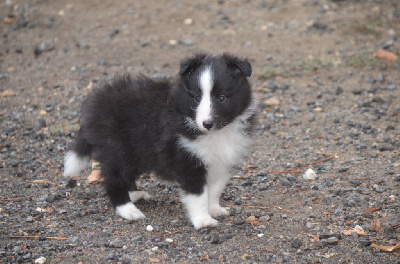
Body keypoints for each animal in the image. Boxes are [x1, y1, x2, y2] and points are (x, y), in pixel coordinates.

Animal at [62, 53, 256, 229]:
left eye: (222, 98)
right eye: (196, 98)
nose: (207, 124)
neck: (215, 134)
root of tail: (94, 107)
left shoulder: (222, 162)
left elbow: (215, 189)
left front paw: (214, 209)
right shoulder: (187, 160)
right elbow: (198, 194)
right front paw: (203, 221)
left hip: (133, 153)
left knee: (126, 175)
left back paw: (135, 195)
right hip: (115, 150)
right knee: (113, 179)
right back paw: (128, 210)